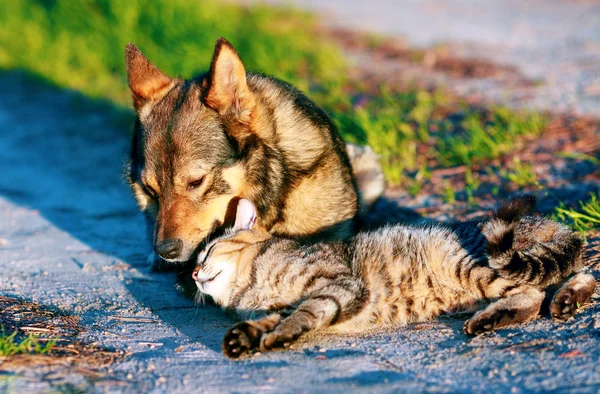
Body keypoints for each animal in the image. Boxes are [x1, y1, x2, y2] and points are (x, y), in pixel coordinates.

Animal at [192, 197, 596, 358]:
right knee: (575, 277)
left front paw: (280, 336)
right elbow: (270, 319)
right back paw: (563, 301)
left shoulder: (338, 285)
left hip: (473, 265)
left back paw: (496, 317)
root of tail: (547, 223)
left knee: (534, 292)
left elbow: (304, 313)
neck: (252, 288)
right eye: (199, 258)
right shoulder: (275, 307)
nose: (193, 272)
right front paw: (244, 337)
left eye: (207, 252)